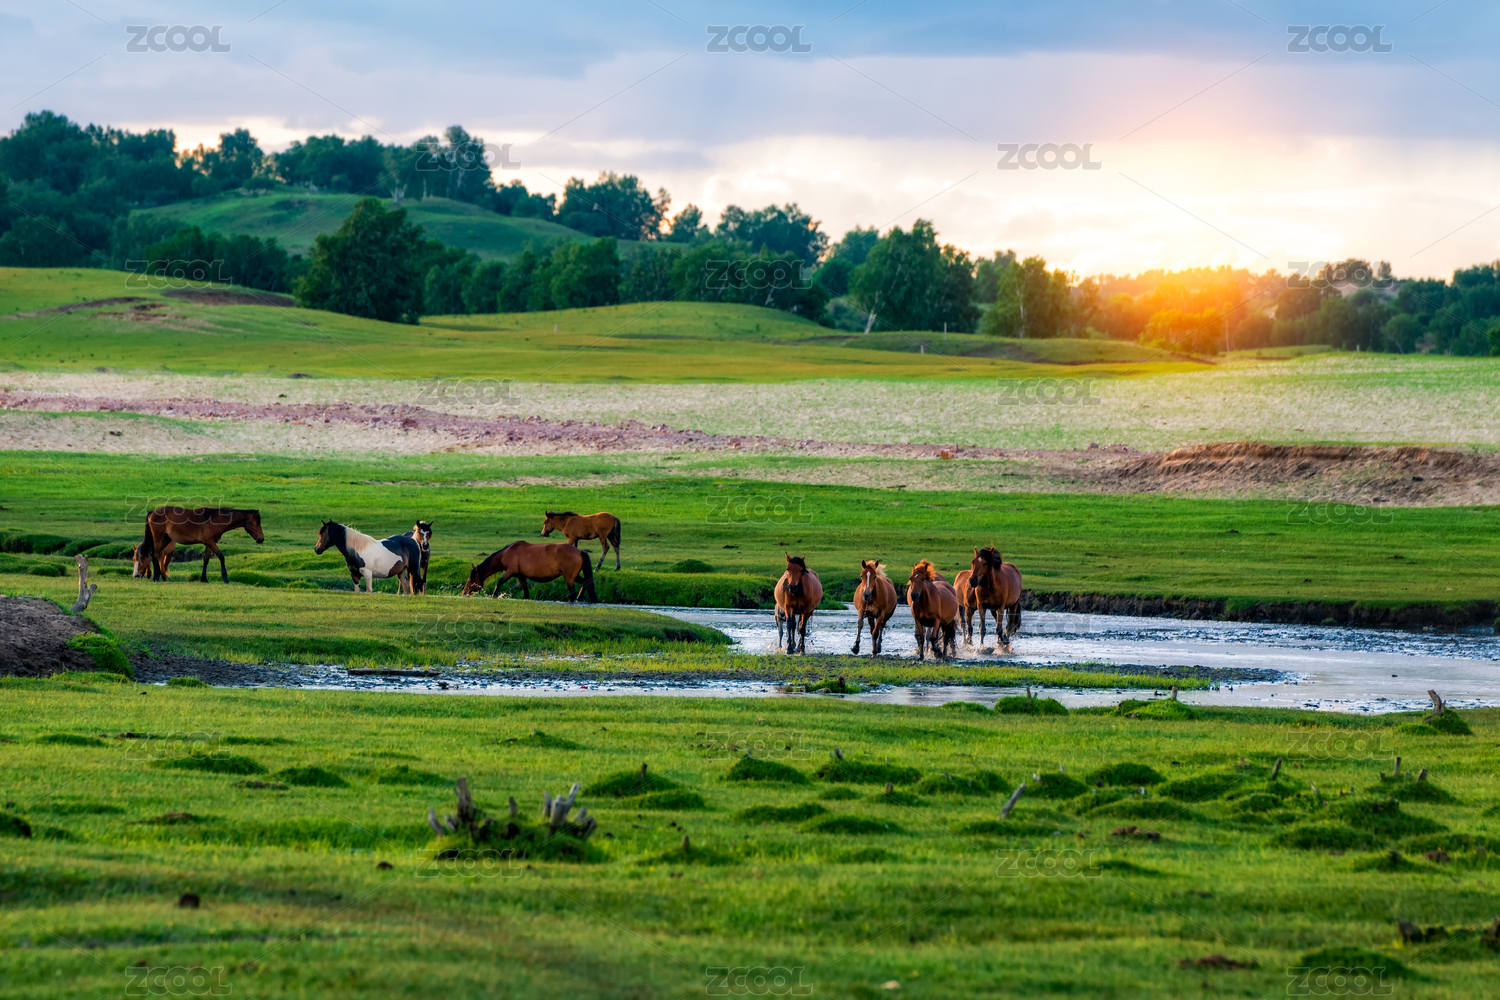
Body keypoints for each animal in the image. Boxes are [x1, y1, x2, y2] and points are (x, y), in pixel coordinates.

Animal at [462, 540, 597, 602]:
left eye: (471, 579)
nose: (464, 592)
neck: (507, 553)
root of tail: (579, 551)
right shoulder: (520, 576)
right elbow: (526, 592)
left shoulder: (511, 571)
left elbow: (499, 582)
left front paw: (494, 595)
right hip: (574, 576)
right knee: (585, 582)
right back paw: (580, 597)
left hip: (568, 578)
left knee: (572, 594)